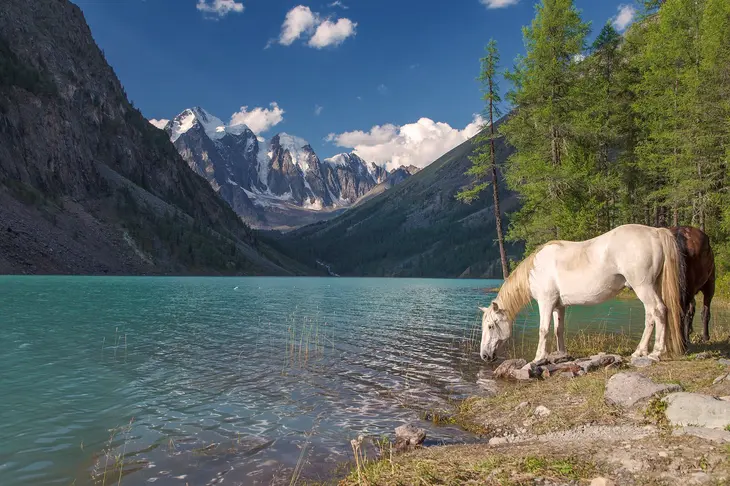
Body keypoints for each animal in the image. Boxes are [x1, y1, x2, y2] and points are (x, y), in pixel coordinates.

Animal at [478, 223, 684, 360]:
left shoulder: (545, 302)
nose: (485, 356)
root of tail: (655, 232)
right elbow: (558, 330)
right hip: (651, 286)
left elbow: (543, 330)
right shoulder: (558, 306)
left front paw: (538, 358)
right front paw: (561, 354)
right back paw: (642, 351)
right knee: (651, 315)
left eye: (490, 326)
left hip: (643, 287)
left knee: (658, 310)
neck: (535, 269)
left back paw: (655, 352)